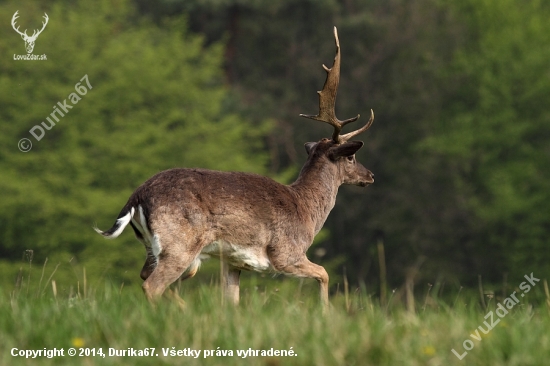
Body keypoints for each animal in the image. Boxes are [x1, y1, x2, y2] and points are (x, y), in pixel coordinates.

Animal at [97, 27, 378, 310]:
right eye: (352, 157)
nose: (371, 176)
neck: (307, 211)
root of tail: (136, 197)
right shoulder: (285, 253)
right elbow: (324, 273)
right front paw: (325, 312)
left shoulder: (233, 262)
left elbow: (232, 301)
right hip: (180, 242)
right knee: (152, 284)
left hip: (153, 245)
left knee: (146, 274)